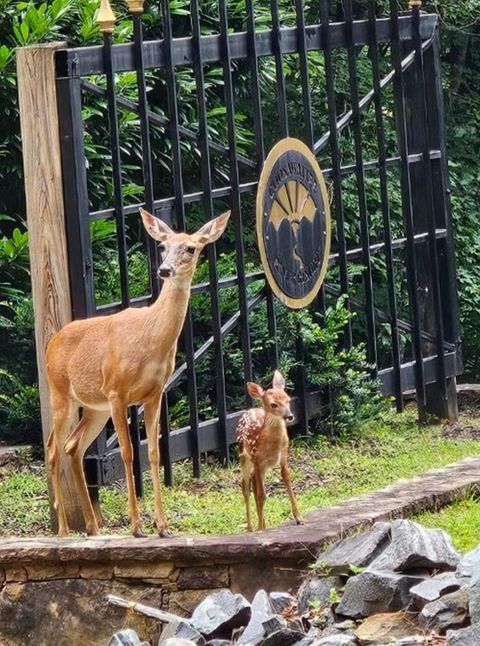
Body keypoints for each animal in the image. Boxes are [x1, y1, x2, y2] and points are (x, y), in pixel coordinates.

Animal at [45, 210, 231, 540]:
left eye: (191, 248)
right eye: (162, 246)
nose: (165, 269)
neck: (150, 339)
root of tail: (50, 344)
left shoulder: (155, 393)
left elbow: (154, 453)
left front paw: (163, 527)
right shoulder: (117, 391)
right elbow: (129, 453)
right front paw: (136, 526)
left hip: (95, 408)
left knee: (73, 446)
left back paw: (93, 528)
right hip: (61, 393)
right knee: (53, 448)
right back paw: (65, 531)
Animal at [235, 372, 302, 536]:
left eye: (288, 399)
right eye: (273, 404)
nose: (290, 416)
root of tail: (248, 410)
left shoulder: (284, 453)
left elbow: (286, 477)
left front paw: (299, 517)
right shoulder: (257, 459)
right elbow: (261, 496)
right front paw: (260, 529)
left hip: (262, 466)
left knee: (253, 484)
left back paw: (262, 524)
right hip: (244, 456)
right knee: (245, 487)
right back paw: (251, 527)